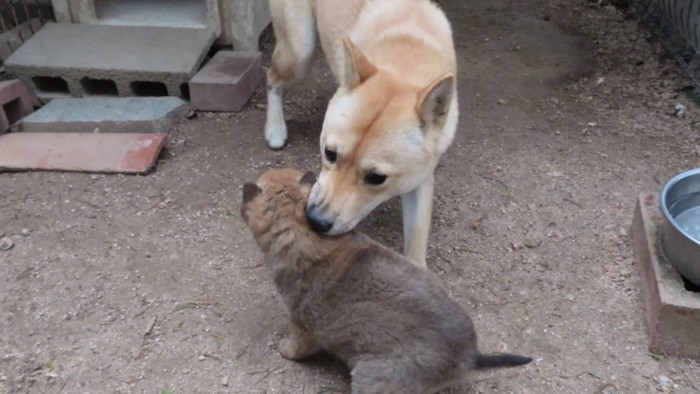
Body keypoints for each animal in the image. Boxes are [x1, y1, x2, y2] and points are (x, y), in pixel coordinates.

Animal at [241, 169, 532, 394]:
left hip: (372, 378)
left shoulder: (300, 322)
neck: (298, 227)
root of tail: (471, 355)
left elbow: (297, 348)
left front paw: (284, 350)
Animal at [264, 0, 460, 266]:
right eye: (329, 153)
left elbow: (416, 246)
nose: (316, 220)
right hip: (298, 53)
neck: (408, 51)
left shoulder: (420, 180)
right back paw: (275, 128)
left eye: (377, 178)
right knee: (272, 78)